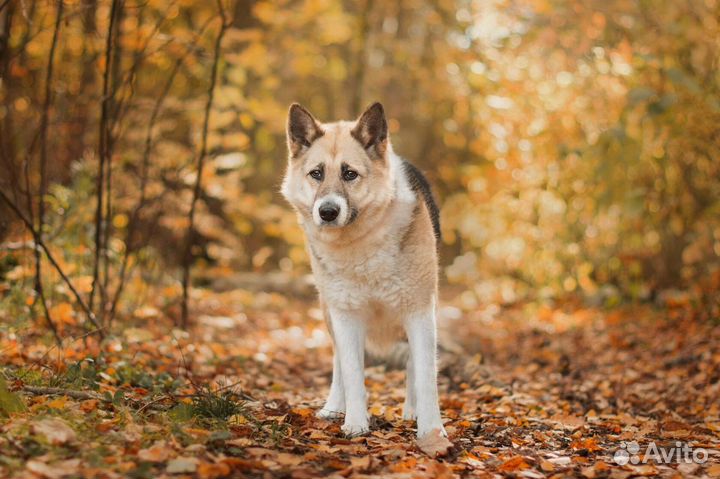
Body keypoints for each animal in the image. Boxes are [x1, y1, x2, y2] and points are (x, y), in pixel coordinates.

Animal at [282, 103, 444, 440]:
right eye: (316, 173)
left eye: (349, 174)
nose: (327, 212)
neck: (361, 244)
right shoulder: (346, 316)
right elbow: (352, 372)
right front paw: (356, 423)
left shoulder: (420, 311)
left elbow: (425, 376)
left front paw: (432, 431)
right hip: (329, 311)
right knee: (338, 363)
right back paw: (334, 407)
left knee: (412, 365)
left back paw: (412, 411)